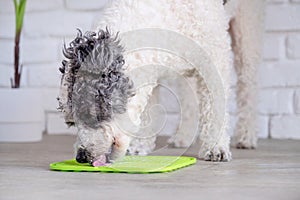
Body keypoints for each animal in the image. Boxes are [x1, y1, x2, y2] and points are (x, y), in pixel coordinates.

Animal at [56, 0, 264, 166]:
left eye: (91, 115)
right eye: (71, 122)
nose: (81, 157)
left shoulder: (214, 60)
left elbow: (215, 108)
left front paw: (216, 148)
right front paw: (140, 146)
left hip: (247, 29)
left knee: (248, 84)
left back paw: (246, 136)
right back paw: (183, 137)